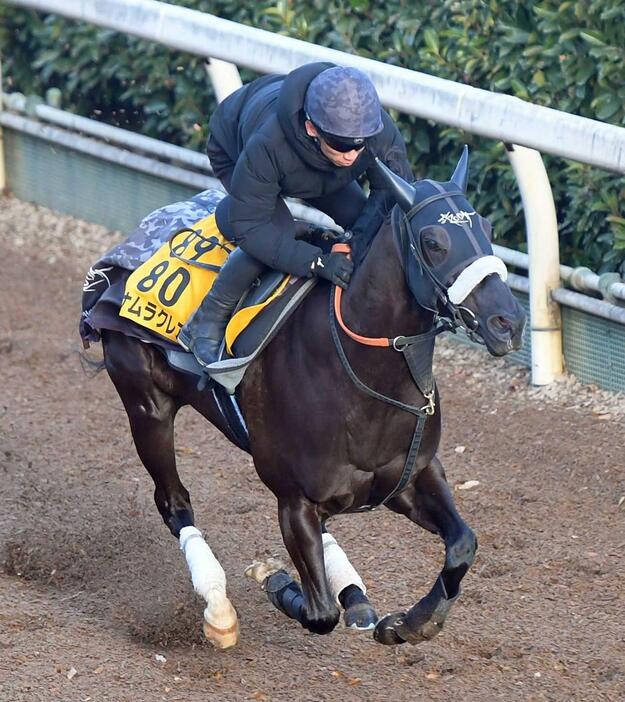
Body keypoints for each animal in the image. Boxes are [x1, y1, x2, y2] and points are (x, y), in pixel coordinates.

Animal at [97, 151, 528, 652]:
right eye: (433, 242)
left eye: (488, 228)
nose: (508, 322)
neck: (359, 376)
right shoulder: (293, 498)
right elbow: (320, 613)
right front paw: (275, 579)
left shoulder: (412, 476)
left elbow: (462, 545)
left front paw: (410, 623)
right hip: (146, 406)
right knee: (174, 503)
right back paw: (219, 611)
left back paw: (356, 597)